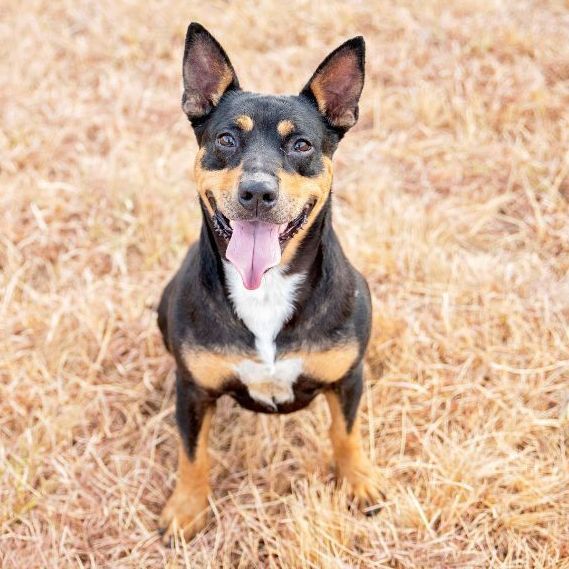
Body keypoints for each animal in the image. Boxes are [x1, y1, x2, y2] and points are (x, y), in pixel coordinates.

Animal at [158, 20, 384, 540]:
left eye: (301, 145)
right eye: (226, 139)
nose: (258, 191)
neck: (265, 287)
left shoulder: (348, 378)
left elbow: (346, 434)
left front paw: (358, 482)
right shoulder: (192, 391)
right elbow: (192, 454)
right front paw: (187, 508)